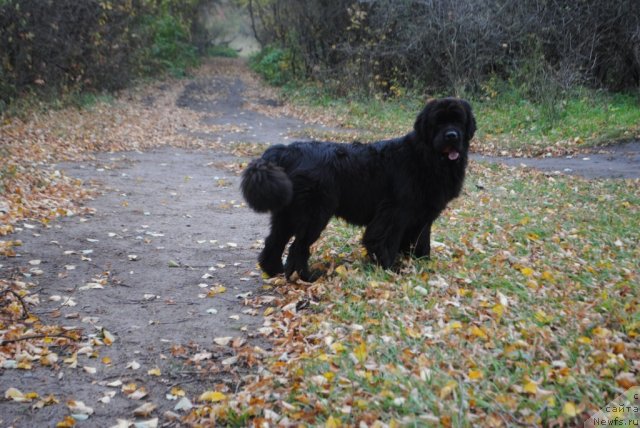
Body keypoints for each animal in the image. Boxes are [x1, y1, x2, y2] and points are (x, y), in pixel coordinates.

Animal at [240, 97, 476, 280]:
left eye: (458, 120)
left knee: (274, 241)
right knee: (298, 247)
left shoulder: (422, 216)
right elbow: (384, 240)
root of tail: (288, 151)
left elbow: (421, 242)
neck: (426, 157)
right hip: (315, 214)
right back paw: (307, 277)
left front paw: (423, 264)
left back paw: (275, 272)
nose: (452, 135)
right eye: (438, 122)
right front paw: (391, 268)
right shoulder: (394, 212)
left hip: (288, 212)